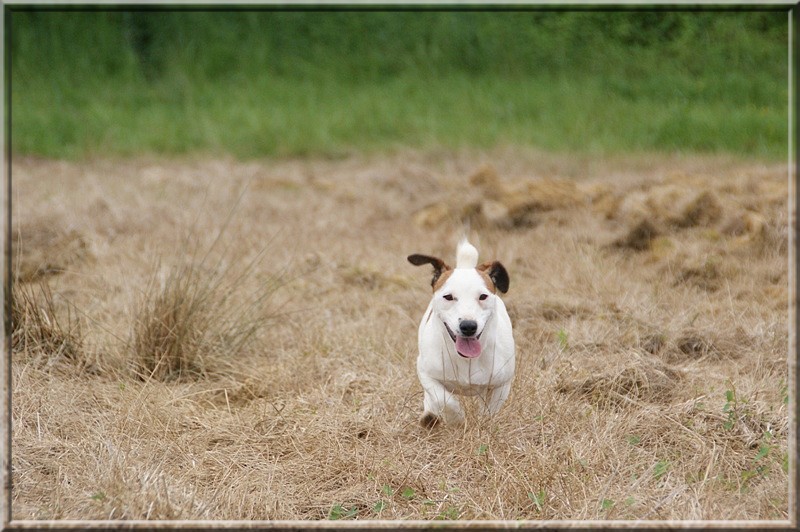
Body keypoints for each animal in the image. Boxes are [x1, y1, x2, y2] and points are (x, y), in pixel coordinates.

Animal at [410, 239, 516, 426]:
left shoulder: (501, 383)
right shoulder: (425, 372)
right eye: (448, 297)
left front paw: (483, 423)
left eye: (483, 296)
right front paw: (455, 418)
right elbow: (442, 398)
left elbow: (490, 409)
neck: (466, 359)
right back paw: (430, 417)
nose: (468, 326)